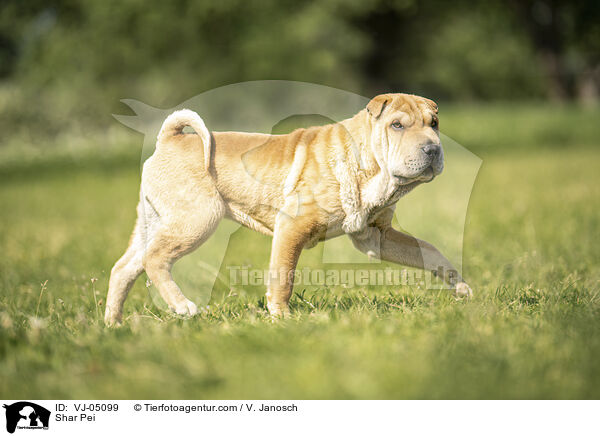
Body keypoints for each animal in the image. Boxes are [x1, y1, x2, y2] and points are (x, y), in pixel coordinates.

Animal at [104, 93, 474, 324]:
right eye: (397, 125)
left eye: (434, 124)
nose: (433, 149)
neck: (368, 164)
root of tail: (170, 139)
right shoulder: (292, 227)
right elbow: (283, 276)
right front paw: (282, 318)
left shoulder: (375, 236)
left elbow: (429, 250)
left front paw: (459, 286)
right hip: (196, 220)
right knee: (154, 260)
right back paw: (183, 307)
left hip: (156, 222)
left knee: (125, 267)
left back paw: (113, 325)